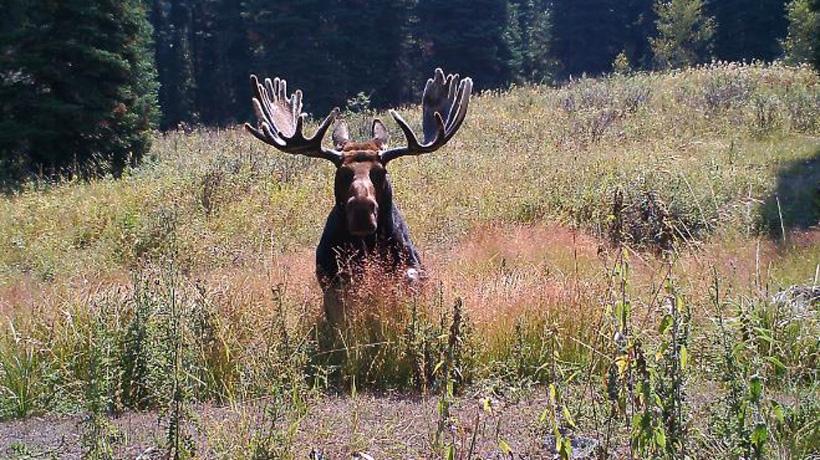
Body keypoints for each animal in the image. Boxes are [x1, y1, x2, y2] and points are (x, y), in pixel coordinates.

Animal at [246, 69, 472, 323]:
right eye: (342, 172)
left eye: (381, 172)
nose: (362, 211)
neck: (365, 246)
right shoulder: (329, 276)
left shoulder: (414, 265)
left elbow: (409, 277)